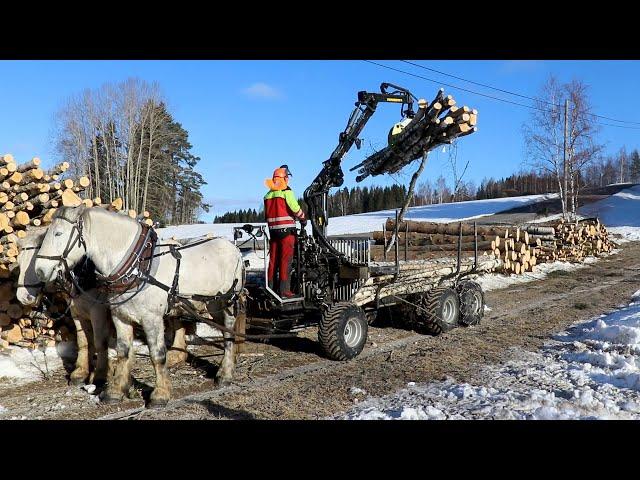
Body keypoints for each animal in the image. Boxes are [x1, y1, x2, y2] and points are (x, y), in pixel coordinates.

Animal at [16, 227, 191, 388]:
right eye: (19, 261)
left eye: (34, 262)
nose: (23, 297)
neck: (84, 276)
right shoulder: (77, 313)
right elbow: (83, 341)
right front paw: (81, 372)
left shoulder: (98, 311)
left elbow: (100, 341)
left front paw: (100, 373)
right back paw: (177, 354)